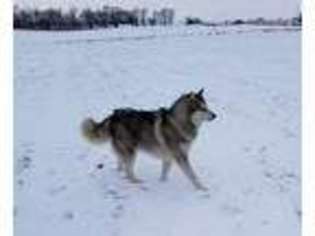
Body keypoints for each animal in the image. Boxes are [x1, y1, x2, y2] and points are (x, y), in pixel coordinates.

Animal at [82, 88, 217, 190]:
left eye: (207, 107)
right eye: (203, 108)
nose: (215, 115)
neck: (179, 122)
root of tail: (113, 115)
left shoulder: (168, 156)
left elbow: (165, 172)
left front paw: (162, 183)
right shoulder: (180, 156)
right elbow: (192, 175)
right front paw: (201, 188)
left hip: (124, 150)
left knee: (121, 164)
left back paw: (120, 174)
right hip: (131, 152)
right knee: (128, 170)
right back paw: (136, 182)